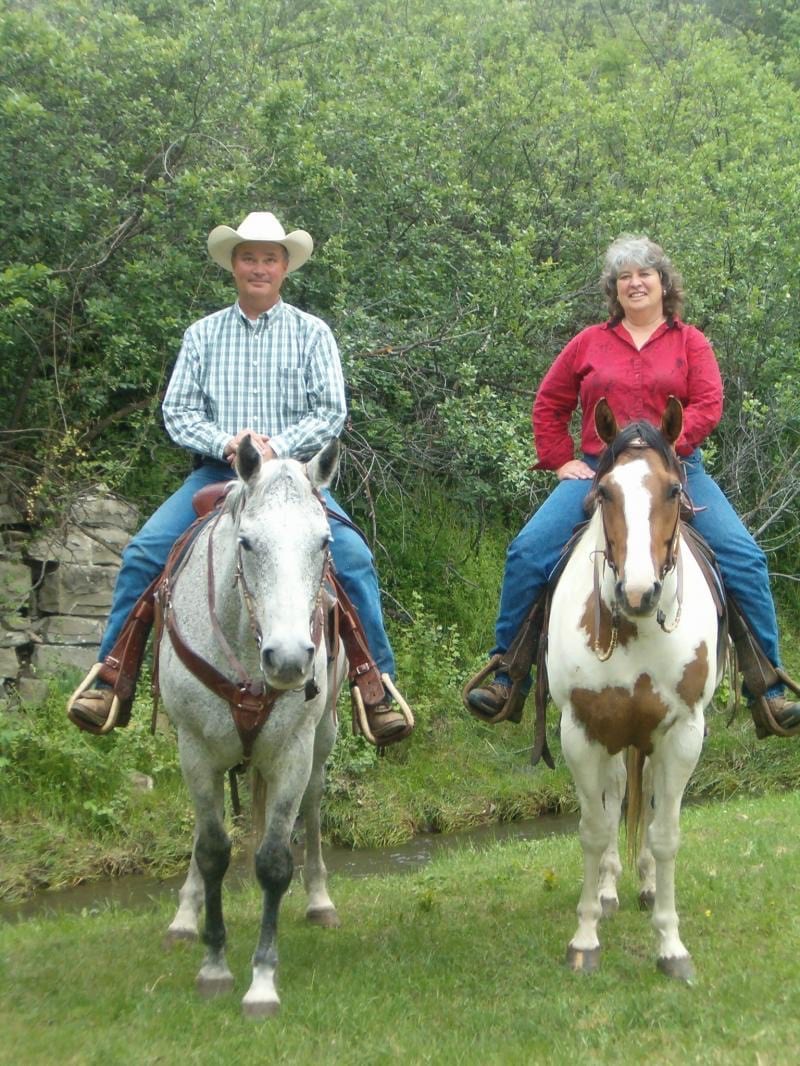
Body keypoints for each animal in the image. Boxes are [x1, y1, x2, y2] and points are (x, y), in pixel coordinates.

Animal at [161, 439, 345, 1014]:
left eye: (323, 541)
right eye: (246, 542)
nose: (288, 659)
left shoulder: (292, 752)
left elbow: (273, 862)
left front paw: (262, 981)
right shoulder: (195, 749)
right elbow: (213, 850)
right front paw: (214, 965)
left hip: (323, 741)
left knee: (313, 806)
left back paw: (320, 900)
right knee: (206, 831)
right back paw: (184, 917)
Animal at [550, 398, 721, 980]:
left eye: (672, 491)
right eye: (605, 492)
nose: (639, 592)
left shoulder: (682, 732)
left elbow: (665, 834)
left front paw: (671, 946)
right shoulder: (582, 731)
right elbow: (594, 829)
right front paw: (584, 938)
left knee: (642, 802)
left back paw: (645, 885)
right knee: (614, 798)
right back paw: (607, 891)